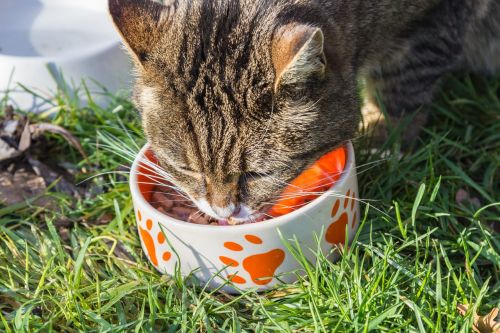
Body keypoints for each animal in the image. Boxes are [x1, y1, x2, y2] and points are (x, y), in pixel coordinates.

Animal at [109, 0, 500, 223]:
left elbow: (401, 88)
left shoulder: (434, 22)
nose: (223, 212)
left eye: (258, 174)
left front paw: (384, 142)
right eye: (187, 169)